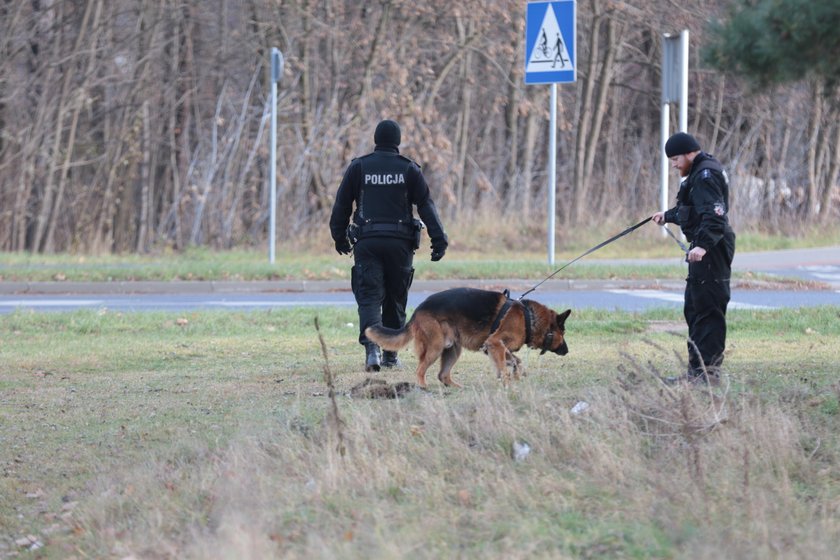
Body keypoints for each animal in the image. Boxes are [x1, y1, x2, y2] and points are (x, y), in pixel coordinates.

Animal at [366, 286, 572, 388]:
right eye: (563, 334)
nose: (567, 351)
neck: (528, 317)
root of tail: (418, 310)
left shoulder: (495, 348)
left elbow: (515, 361)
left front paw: (516, 375)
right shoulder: (495, 343)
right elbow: (505, 367)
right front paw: (508, 384)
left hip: (452, 349)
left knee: (442, 375)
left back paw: (457, 388)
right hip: (435, 347)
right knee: (420, 370)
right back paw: (424, 387)